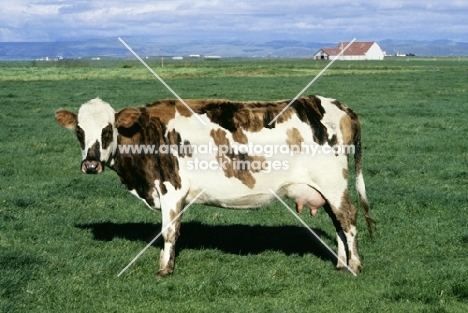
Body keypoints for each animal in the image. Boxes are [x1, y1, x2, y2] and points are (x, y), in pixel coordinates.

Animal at [55, 95, 376, 276]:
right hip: (326, 188)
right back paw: (341, 263)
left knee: (348, 219)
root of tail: (338, 105)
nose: (91, 164)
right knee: (337, 222)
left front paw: (164, 269)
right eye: (80, 131)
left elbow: (169, 231)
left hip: (333, 183)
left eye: (108, 129)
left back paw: (355, 266)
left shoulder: (172, 188)